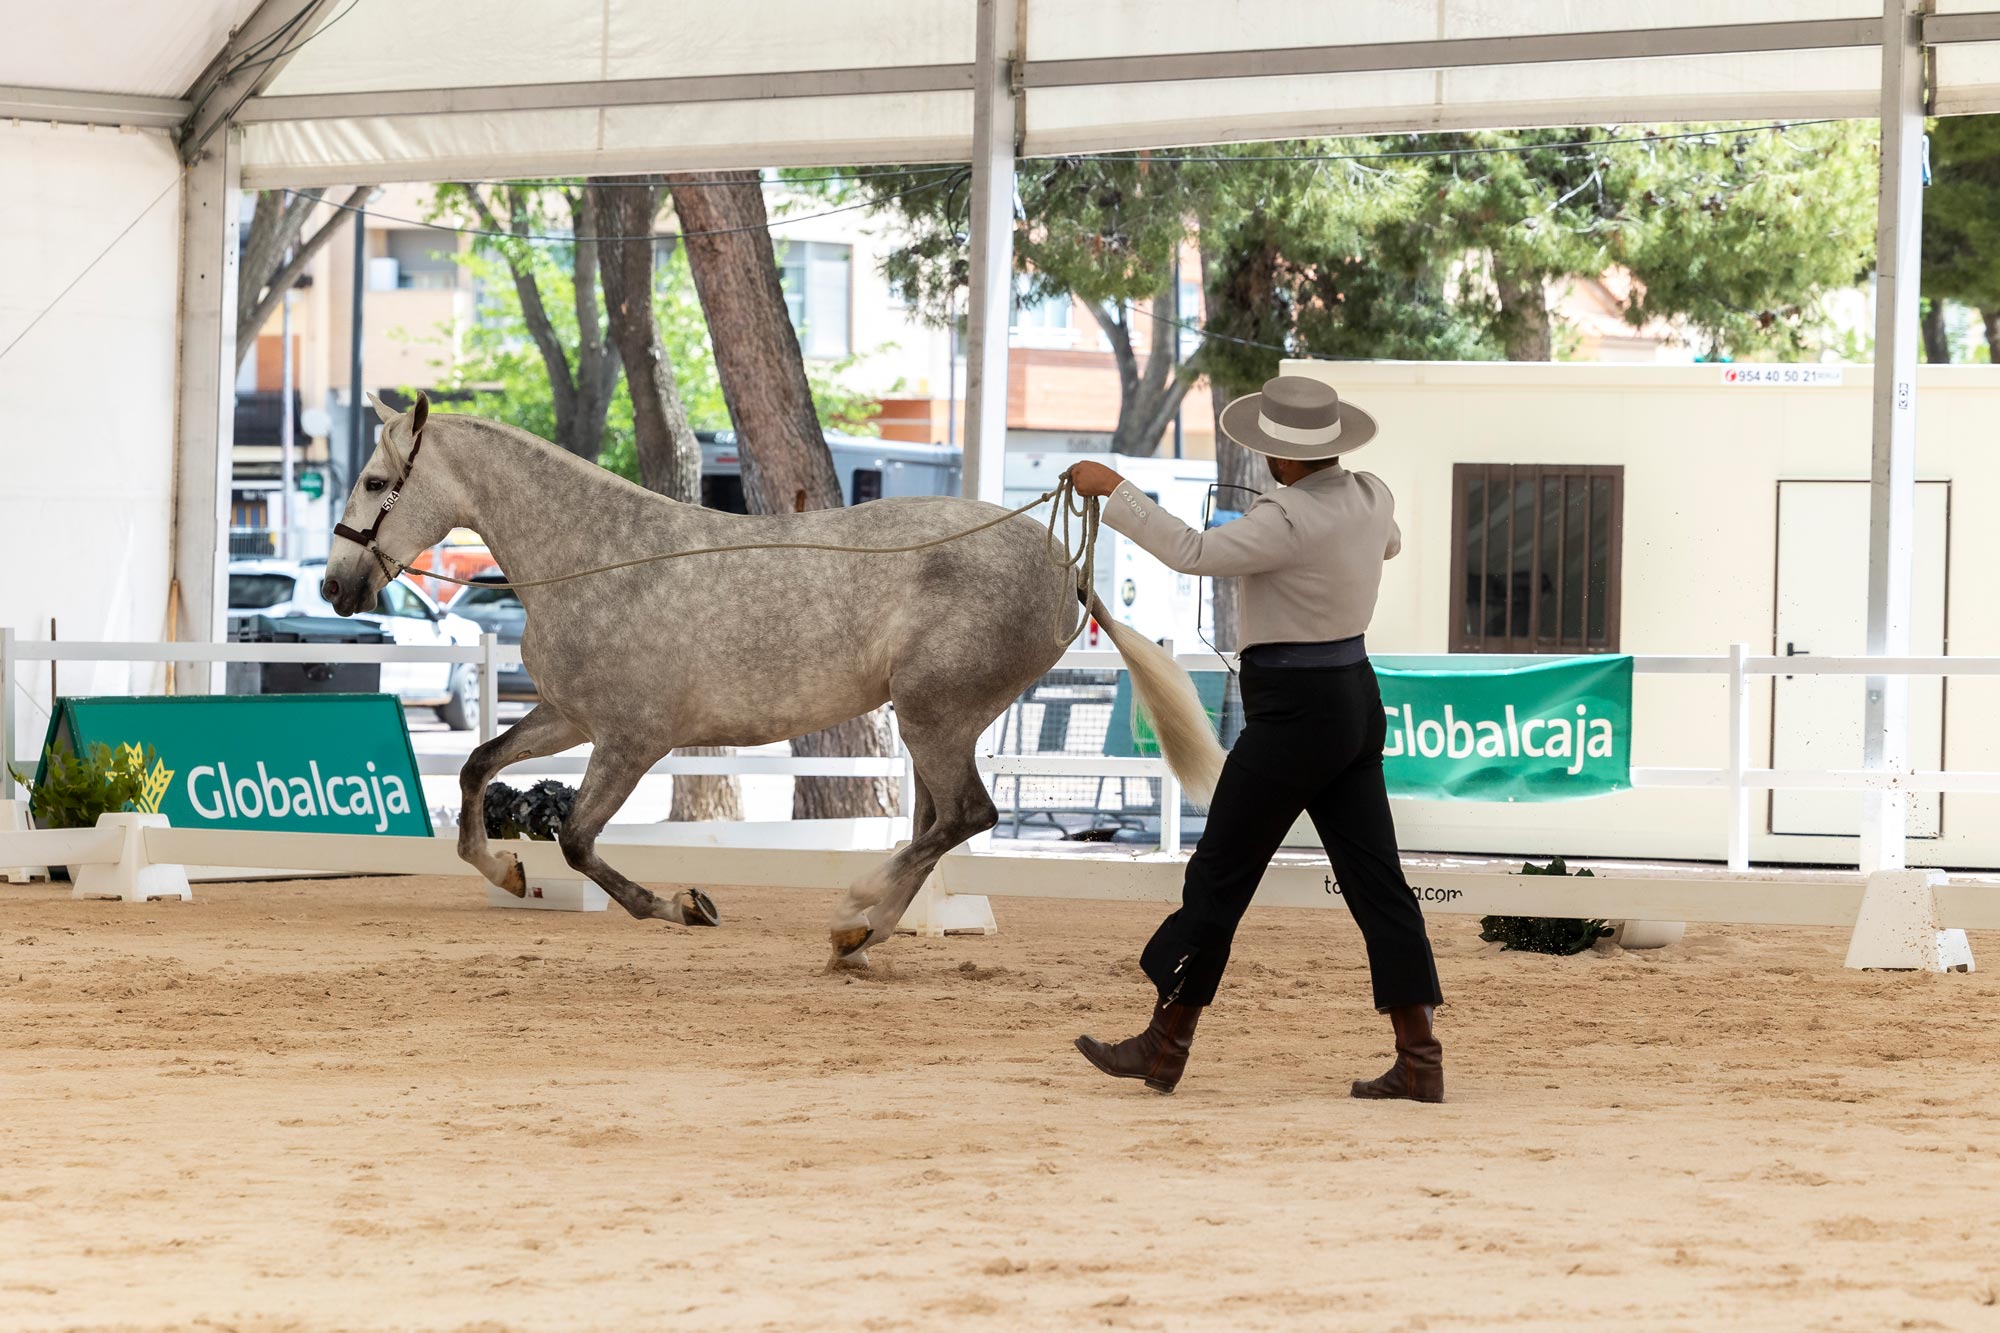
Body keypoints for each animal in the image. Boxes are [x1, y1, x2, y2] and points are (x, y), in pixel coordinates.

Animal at [322, 390, 1224, 960]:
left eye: (374, 480)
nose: (334, 587)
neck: (603, 559)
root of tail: (1060, 561)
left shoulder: (631, 739)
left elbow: (576, 838)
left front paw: (683, 907)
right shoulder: (571, 716)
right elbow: (479, 768)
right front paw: (505, 869)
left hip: (933, 714)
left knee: (965, 814)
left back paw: (856, 913)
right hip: (936, 722)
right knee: (941, 821)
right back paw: (866, 930)